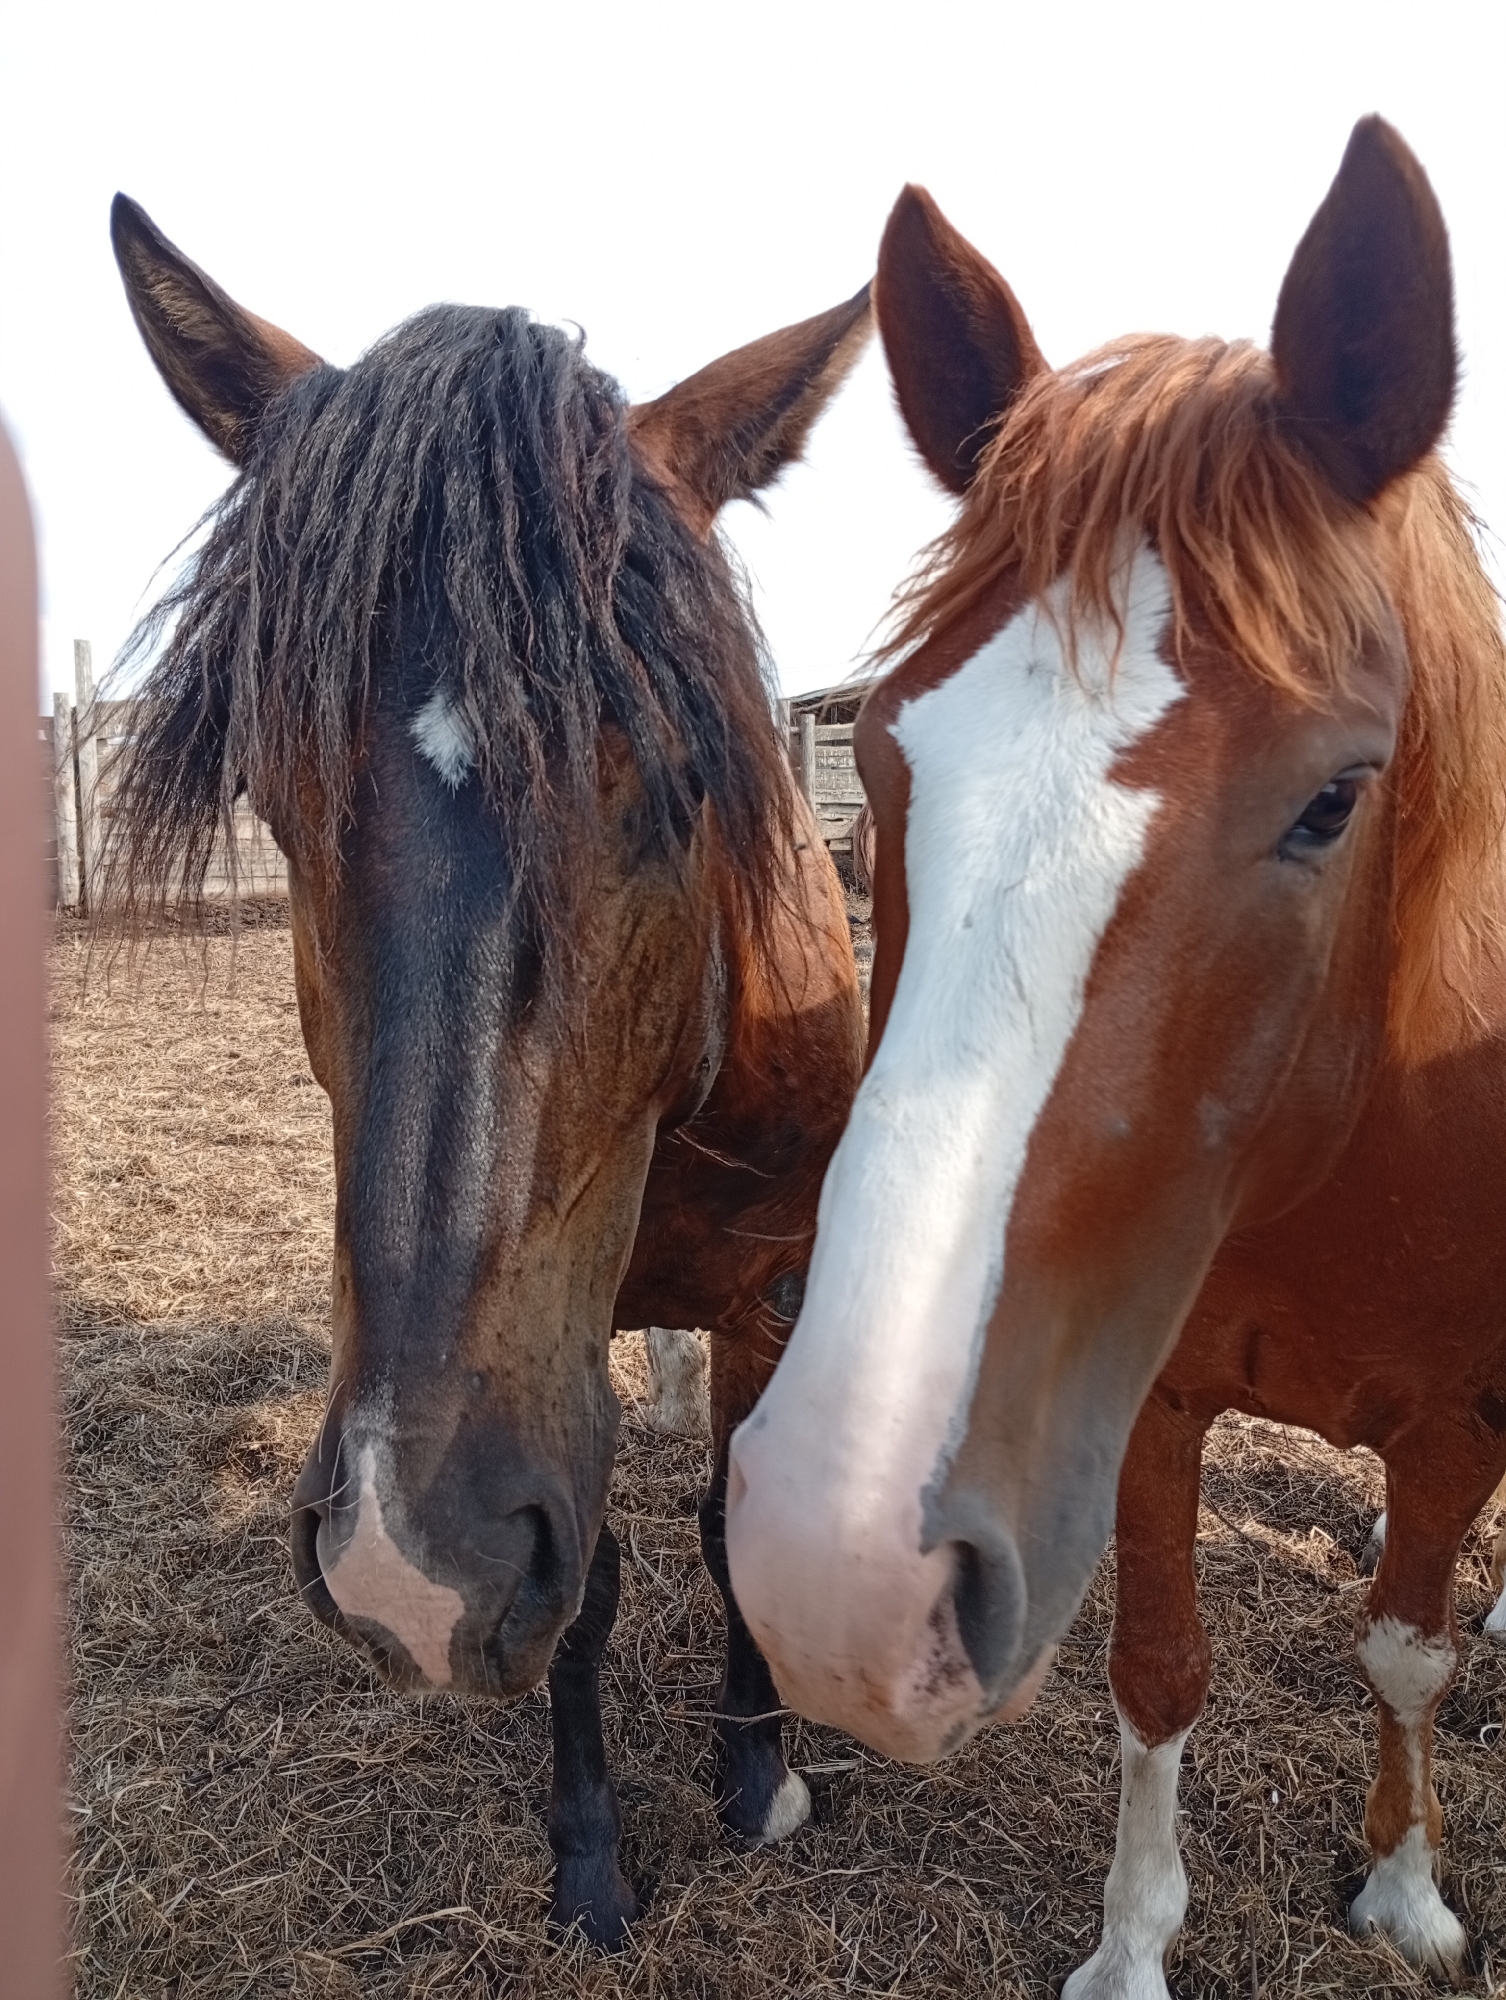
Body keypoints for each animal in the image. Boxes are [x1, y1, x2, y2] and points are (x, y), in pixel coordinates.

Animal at [103, 194, 867, 1946]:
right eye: (274, 794)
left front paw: (754, 1771)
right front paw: (589, 1855)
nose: (408, 1556)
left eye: (680, 784)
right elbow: (581, 1591)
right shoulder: (554, 1364)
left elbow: (728, 1518)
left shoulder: (773, 1285)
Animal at [726, 117, 1506, 1987]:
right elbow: (1157, 1673)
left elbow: (1406, 1648)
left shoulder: (1459, 1413)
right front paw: (1135, 1944)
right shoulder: (1134, 1399)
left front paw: (1406, 1889)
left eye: (1330, 799)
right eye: (883, 753)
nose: (836, 1577)